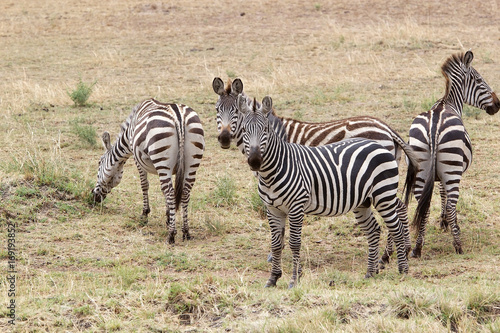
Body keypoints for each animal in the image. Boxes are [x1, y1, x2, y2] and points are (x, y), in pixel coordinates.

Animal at [92, 97, 205, 243]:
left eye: (99, 163)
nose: (94, 197)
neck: (129, 133)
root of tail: (179, 117)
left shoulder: (137, 159)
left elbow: (145, 185)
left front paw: (145, 214)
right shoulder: (174, 169)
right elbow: (166, 191)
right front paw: (168, 217)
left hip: (162, 156)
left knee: (170, 192)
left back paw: (171, 235)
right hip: (192, 161)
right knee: (184, 192)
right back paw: (186, 231)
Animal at [213, 76, 420, 264]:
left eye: (235, 112)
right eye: (217, 110)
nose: (224, 138)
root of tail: (386, 127)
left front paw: (274, 254)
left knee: (395, 208)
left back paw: (391, 253)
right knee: (400, 207)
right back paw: (397, 251)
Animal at [238, 94, 410, 286]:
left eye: (266, 130)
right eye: (244, 130)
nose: (254, 161)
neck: (272, 172)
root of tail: (380, 143)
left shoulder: (296, 206)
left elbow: (294, 243)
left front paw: (294, 280)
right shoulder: (273, 209)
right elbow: (275, 245)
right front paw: (273, 278)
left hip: (383, 194)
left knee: (396, 227)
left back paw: (402, 269)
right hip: (363, 201)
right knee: (373, 230)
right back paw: (370, 273)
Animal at [406, 50, 500, 256]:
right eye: (479, 80)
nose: (498, 104)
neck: (447, 103)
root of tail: (433, 127)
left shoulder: (436, 173)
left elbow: (440, 194)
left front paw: (443, 222)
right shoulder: (447, 172)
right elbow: (446, 197)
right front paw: (449, 223)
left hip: (421, 167)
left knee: (423, 204)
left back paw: (418, 247)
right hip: (453, 168)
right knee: (451, 202)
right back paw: (458, 245)